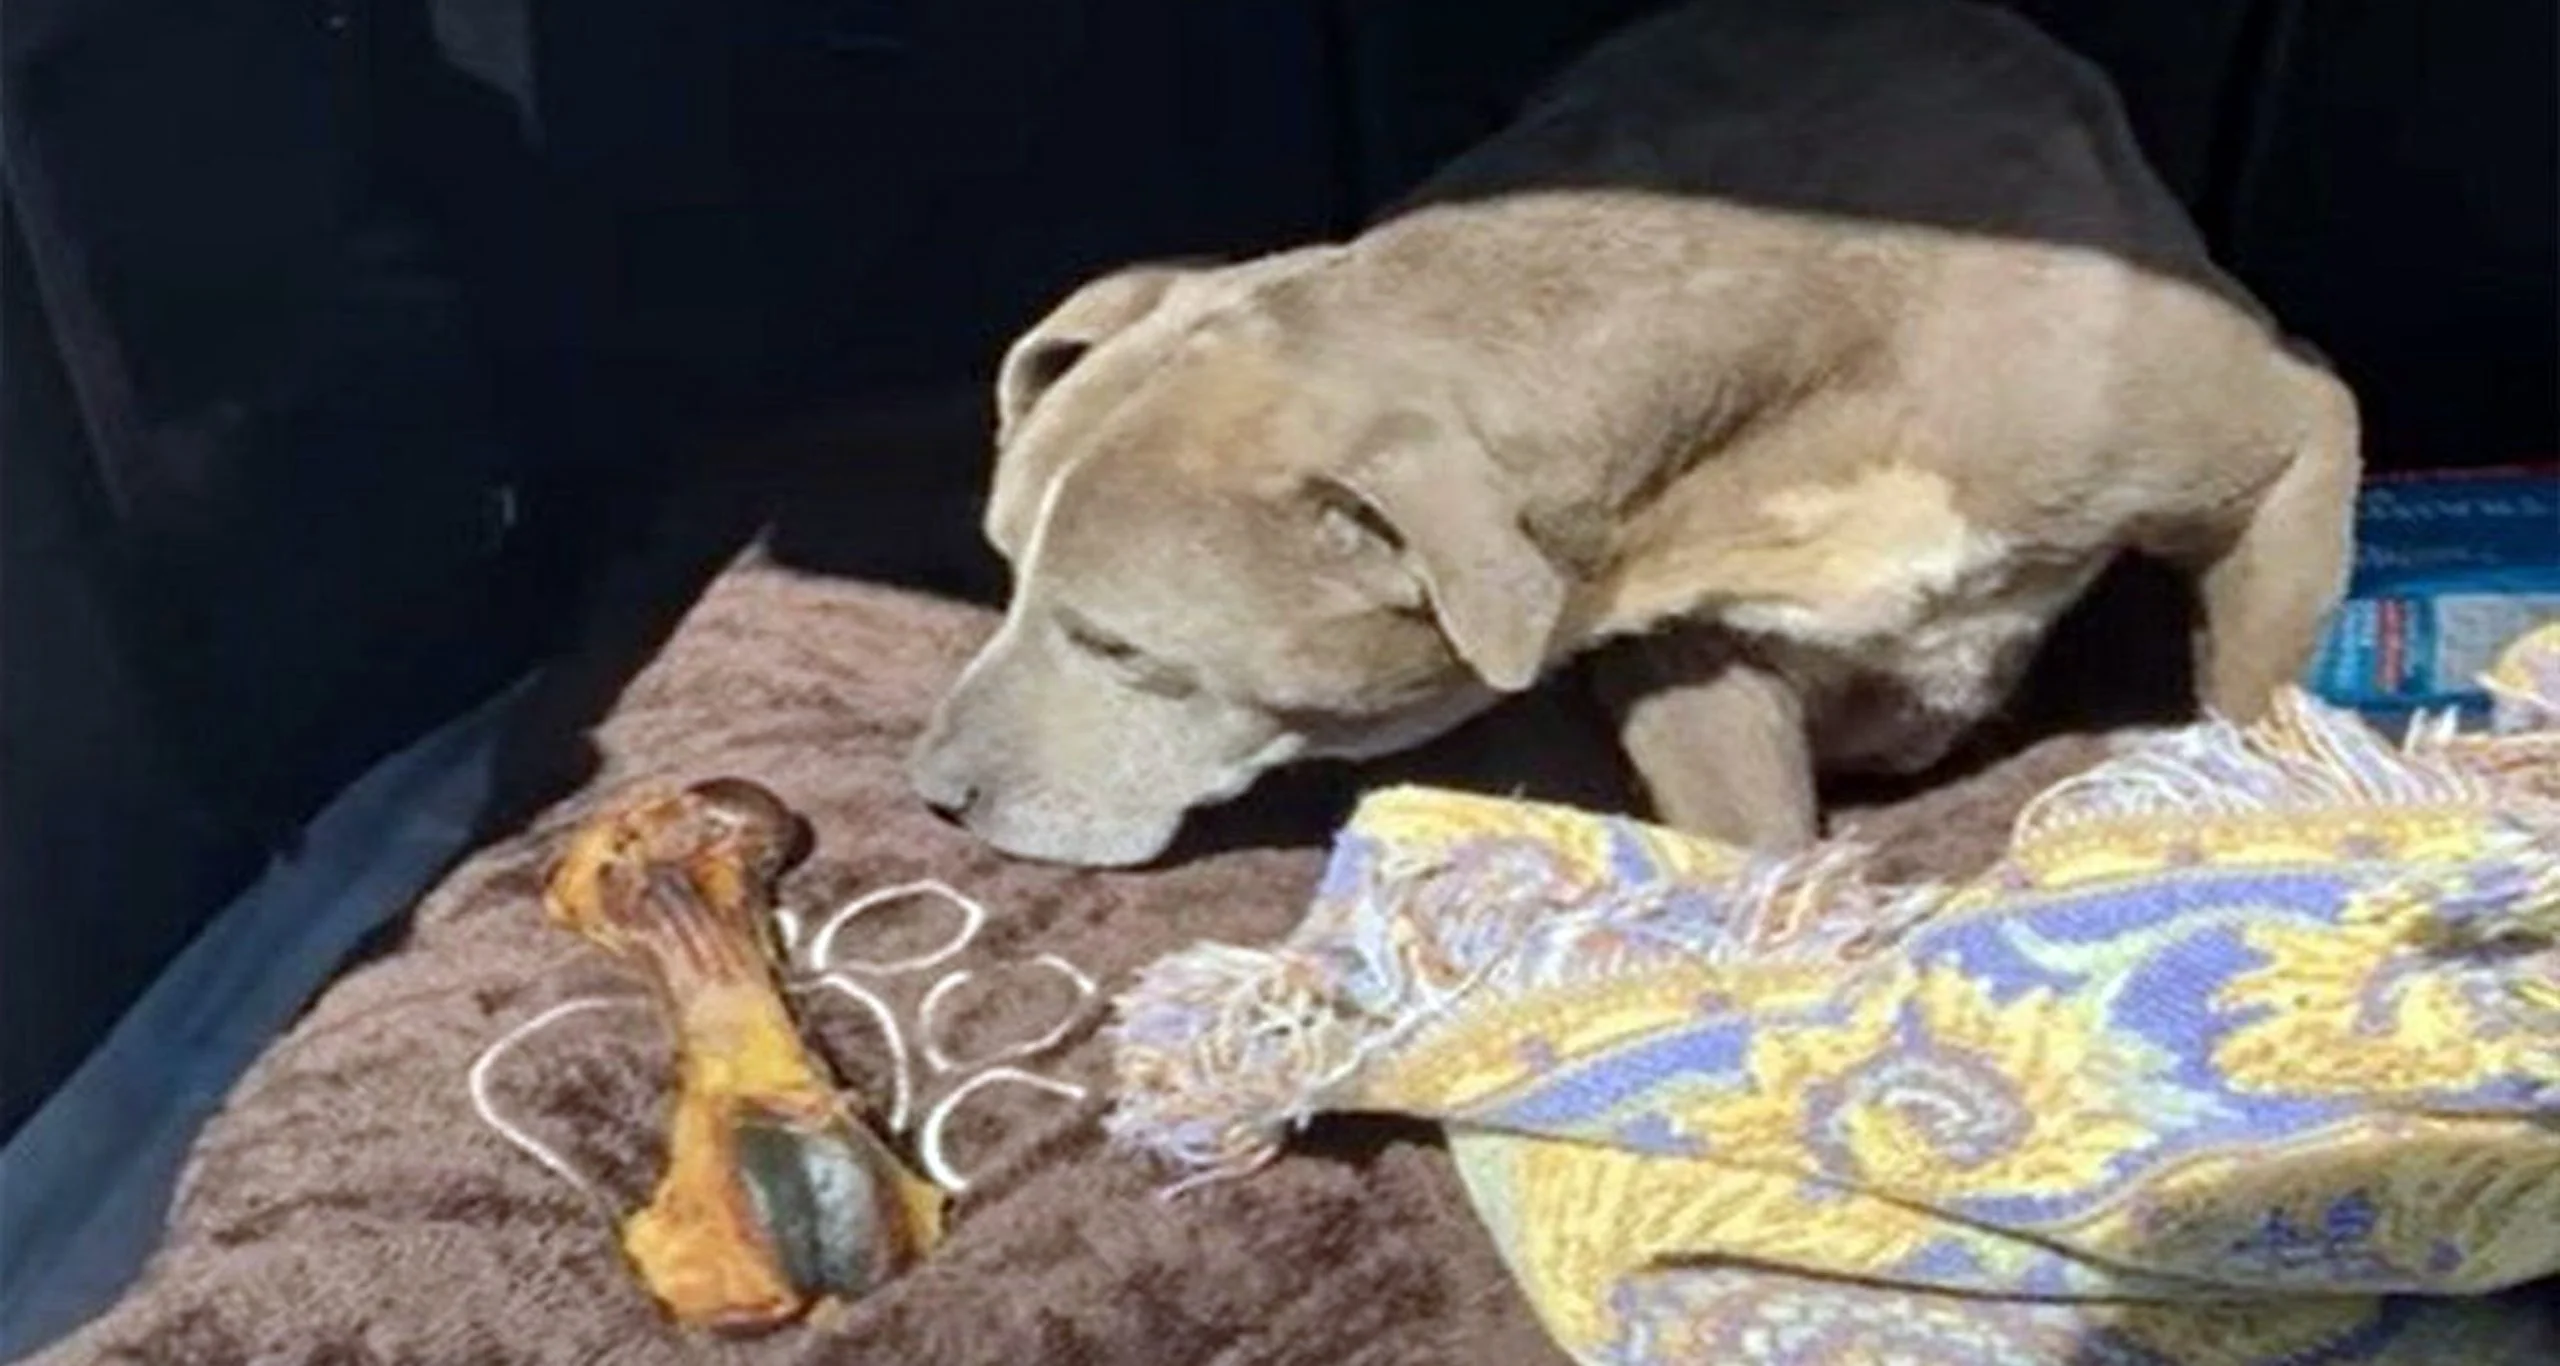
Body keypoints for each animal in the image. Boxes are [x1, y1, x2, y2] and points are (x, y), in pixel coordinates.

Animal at [910, 0, 2360, 867]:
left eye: (1118, 645)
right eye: (1002, 575)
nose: (932, 793)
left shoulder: (2289, 442)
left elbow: (2256, 697)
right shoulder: (1686, 651)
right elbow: (1749, 830)